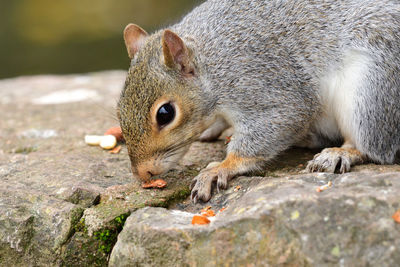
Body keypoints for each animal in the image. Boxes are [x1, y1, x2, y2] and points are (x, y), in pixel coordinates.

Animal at [117, 0, 400, 203]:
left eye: (165, 113)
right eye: (119, 110)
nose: (142, 174)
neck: (211, 61)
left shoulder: (263, 82)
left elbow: (282, 117)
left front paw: (220, 168)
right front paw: (212, 130)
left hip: (371, 90)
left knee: (374, 146)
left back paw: (340, 152)